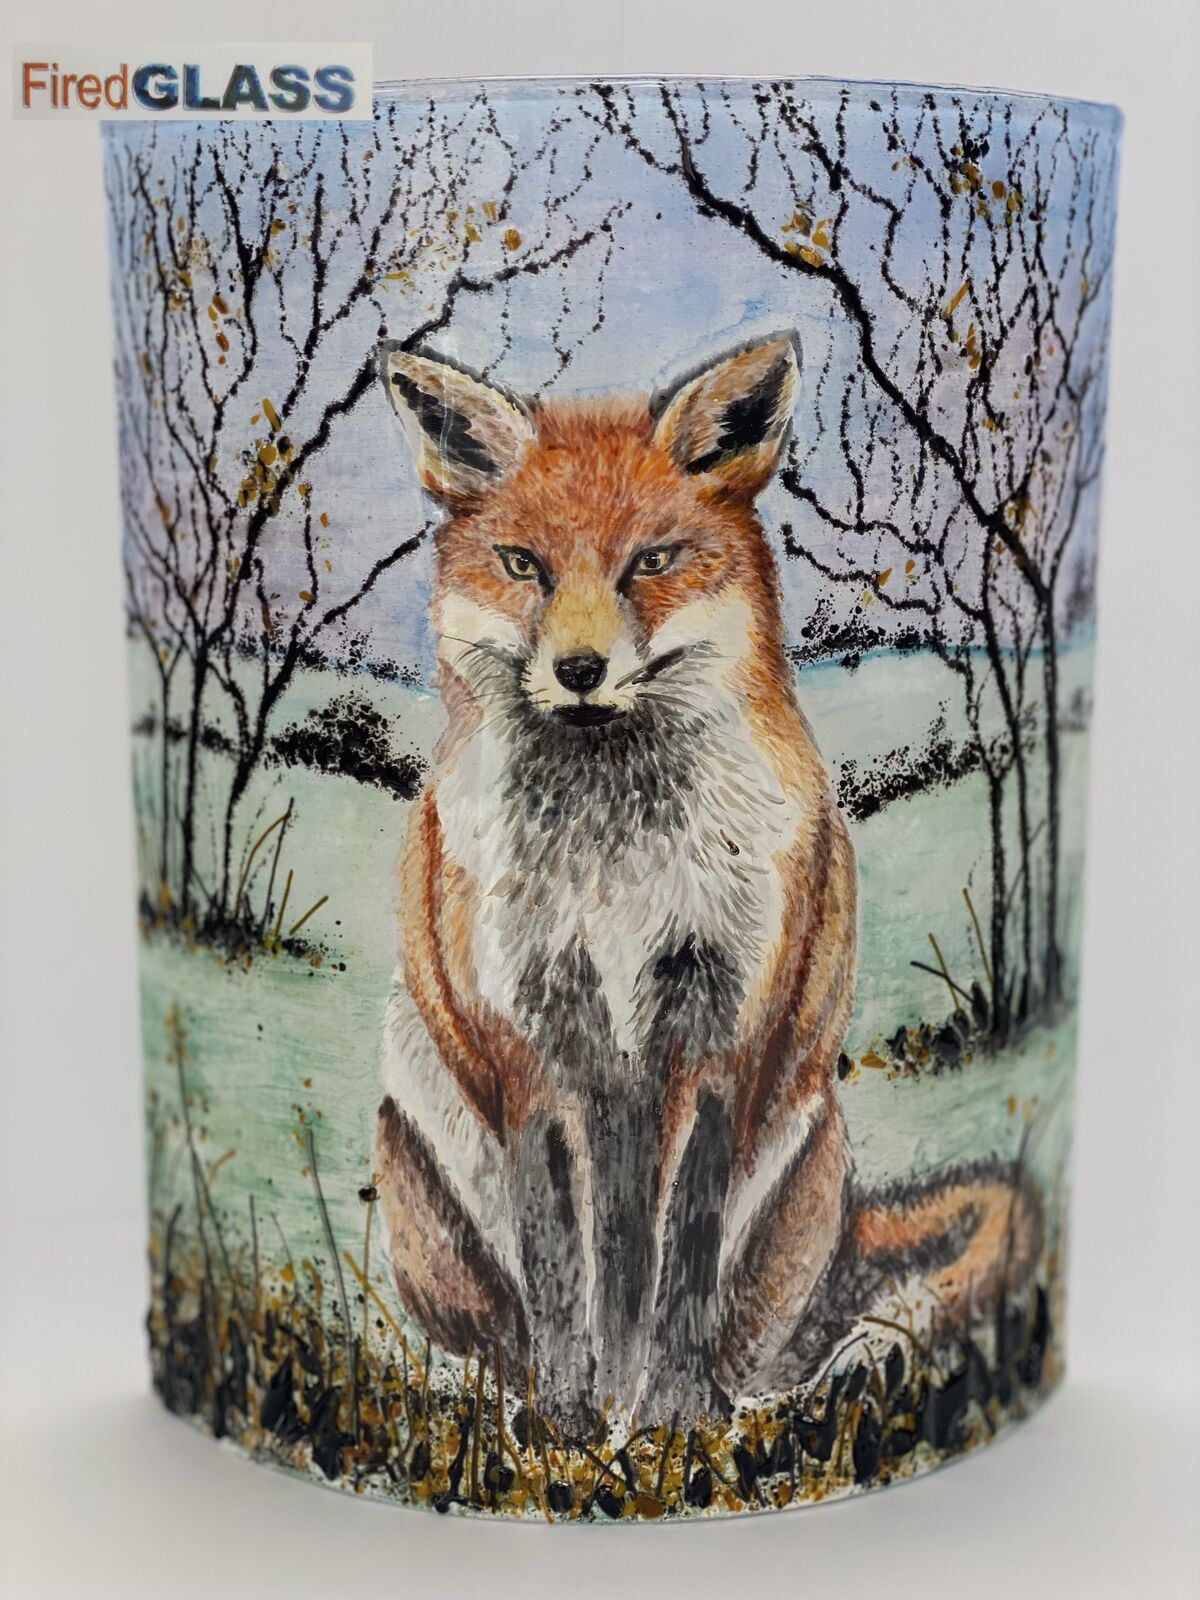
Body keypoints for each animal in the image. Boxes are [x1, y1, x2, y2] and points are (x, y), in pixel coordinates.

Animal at [372, 332, 1041, 1432]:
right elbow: (562, 1270)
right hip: (419, 1159)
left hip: (803, 1169)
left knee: (777, 1346)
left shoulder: (720, 1029)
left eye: (652, 560)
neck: (616, 873)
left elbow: (677, 1253)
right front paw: (565, 1426)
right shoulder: (533, 1043)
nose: (582, 669)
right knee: (491, 1334)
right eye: (524, 565)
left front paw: (671, 1420)